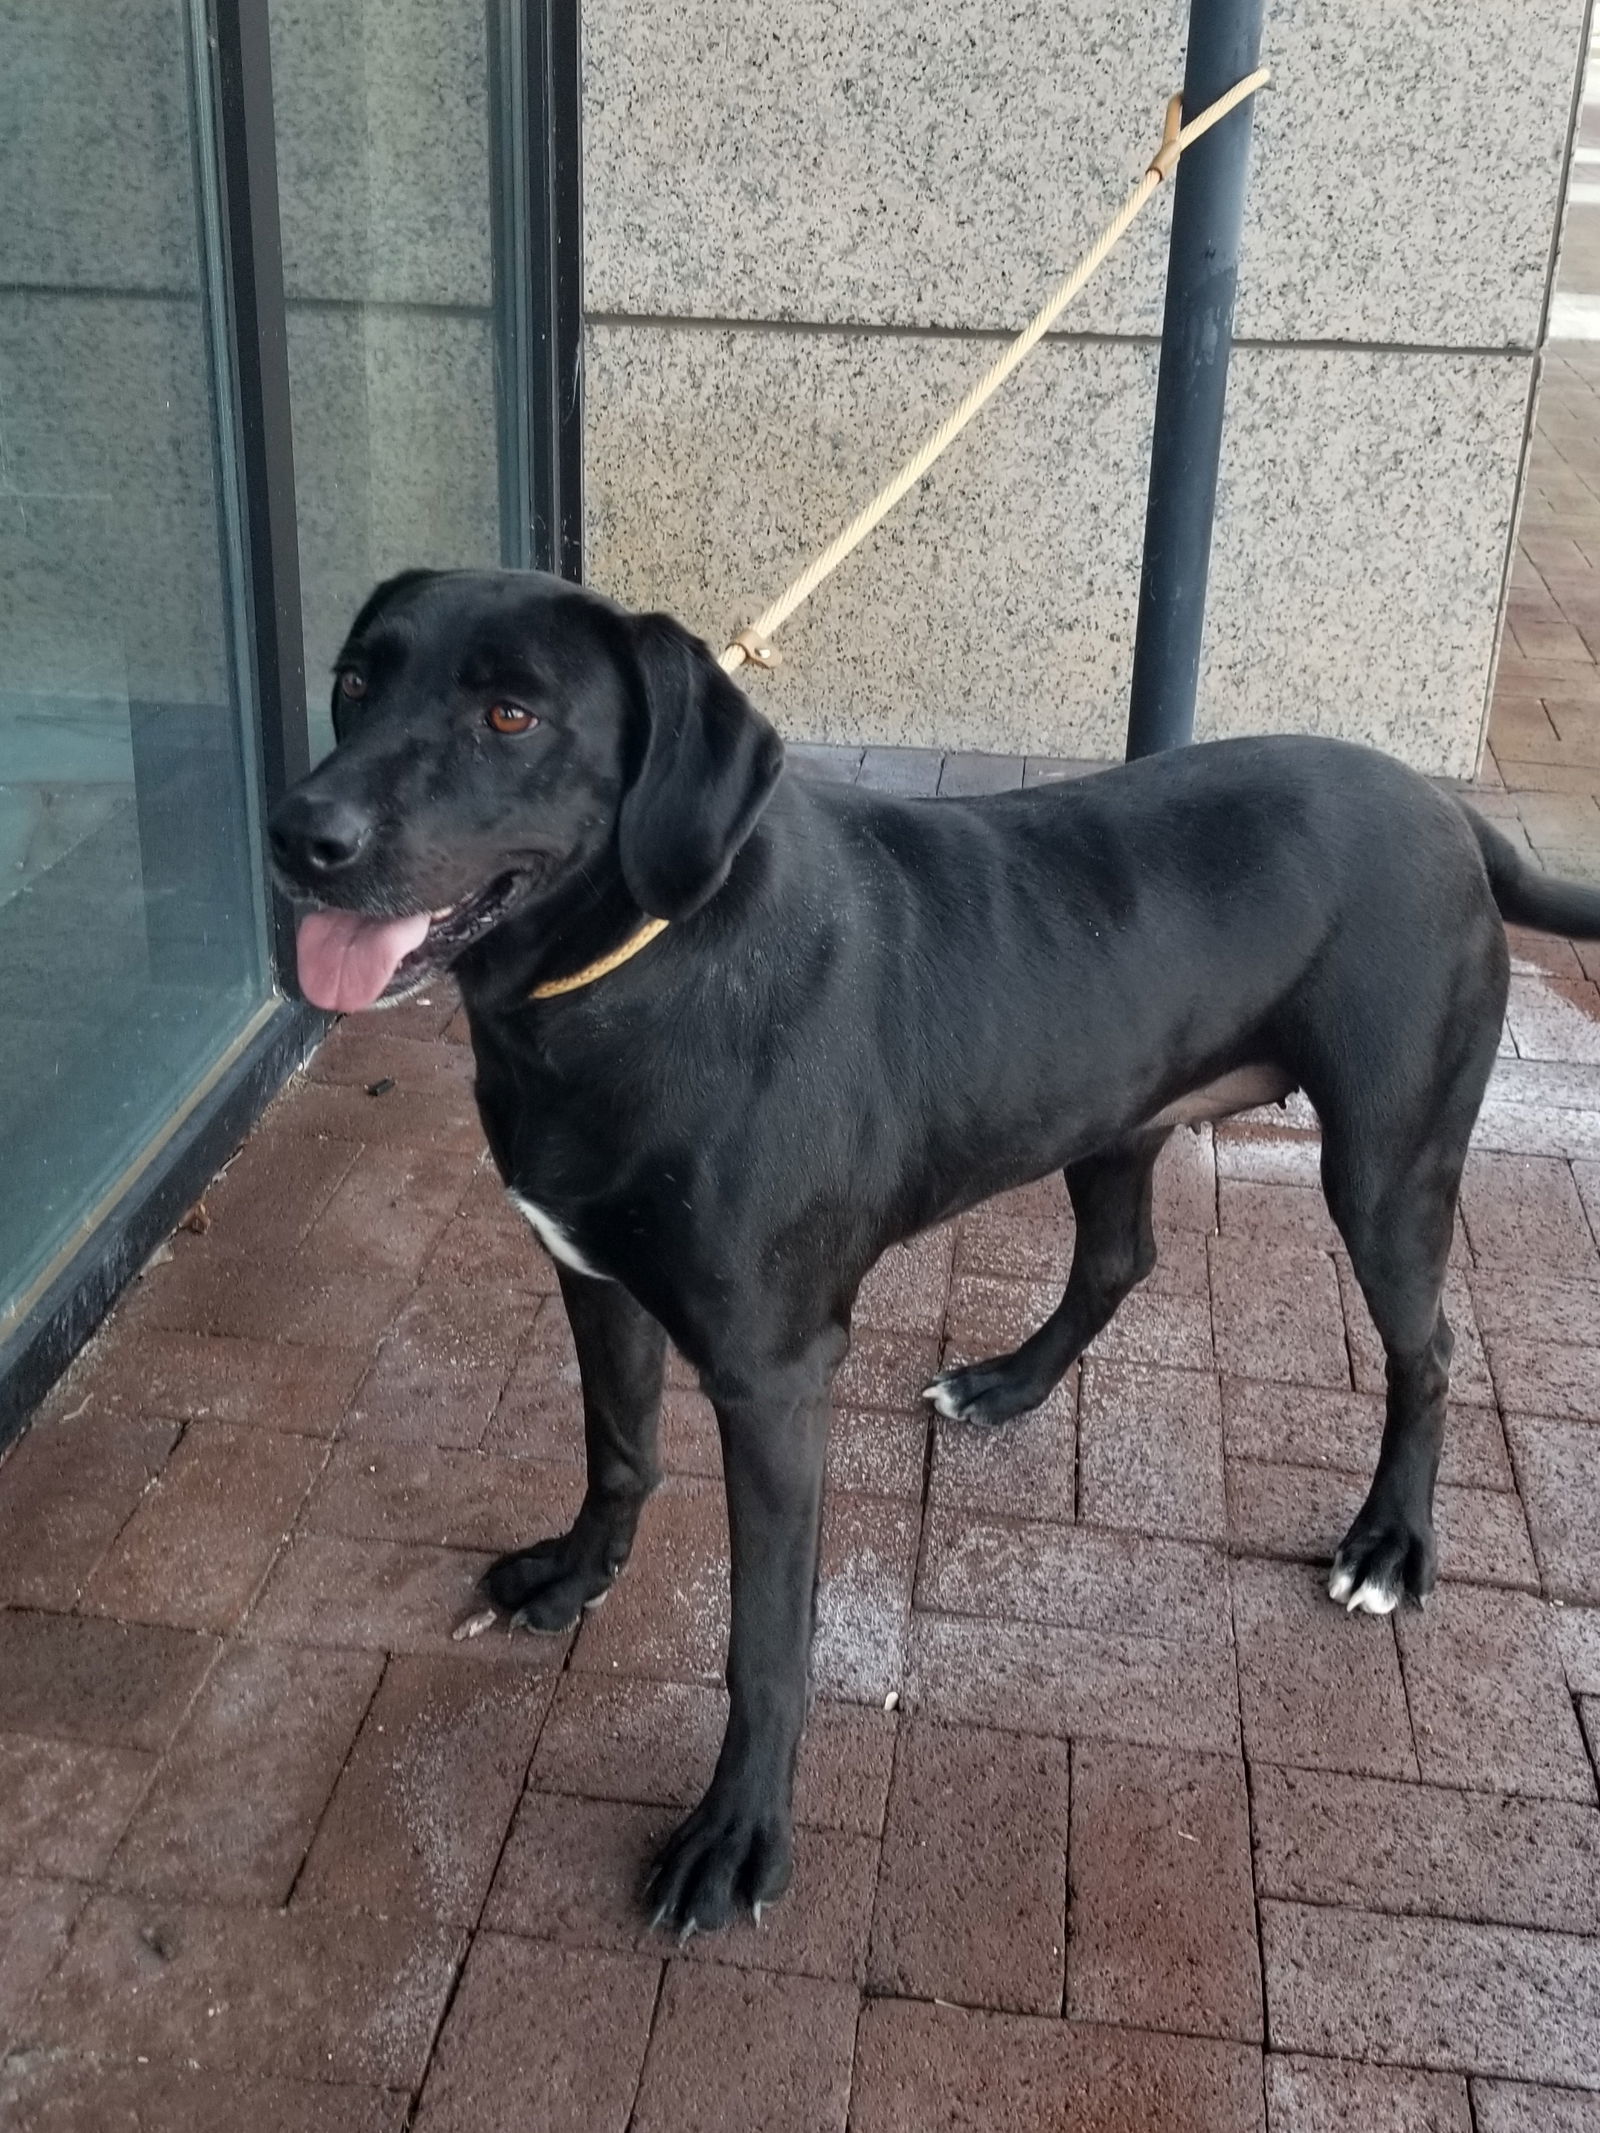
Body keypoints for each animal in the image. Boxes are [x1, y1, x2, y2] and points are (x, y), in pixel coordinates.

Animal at [269, 567, 1595, 1936]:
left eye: (512, 717)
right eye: (357, 680)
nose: (298, 835)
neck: (636, 972)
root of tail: (1445, 811)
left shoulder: (772, 1375)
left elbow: (765, 1643)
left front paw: (736, 1835)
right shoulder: (592, 1280)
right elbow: (619, 1453)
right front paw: (579, 1575)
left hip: (1384, 1172)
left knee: (1429, 1350)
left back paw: (1389, 1545)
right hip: (1109, 1118)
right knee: (1119, 1260)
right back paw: (1007, 1385)